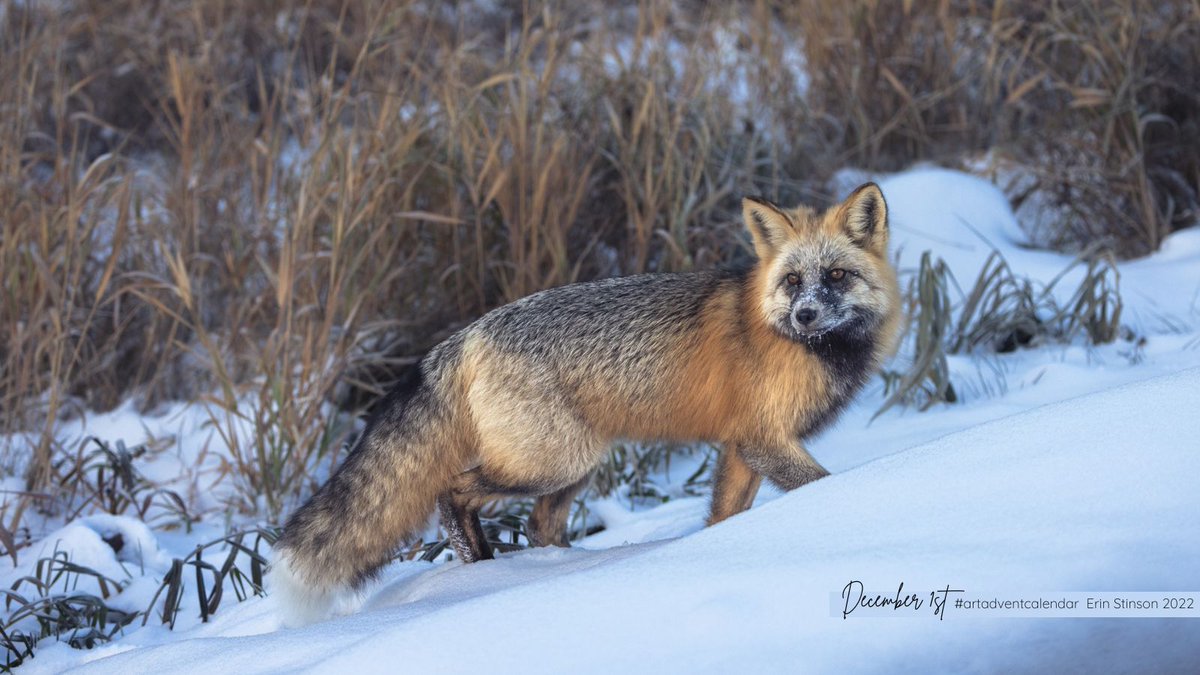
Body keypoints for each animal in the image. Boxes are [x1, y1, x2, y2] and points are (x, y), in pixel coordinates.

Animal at [270, 181, 902, 624]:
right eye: (793, 282)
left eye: (836, 276)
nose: (805, 315)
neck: (805, 347)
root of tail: (464, 336)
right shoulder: (763, 439)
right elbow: (819, 485)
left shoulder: (742, 448)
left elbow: (725, 517)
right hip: (555, 461)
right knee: (453, 493)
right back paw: (484, 575)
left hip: (574, 467)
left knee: (538, 525)